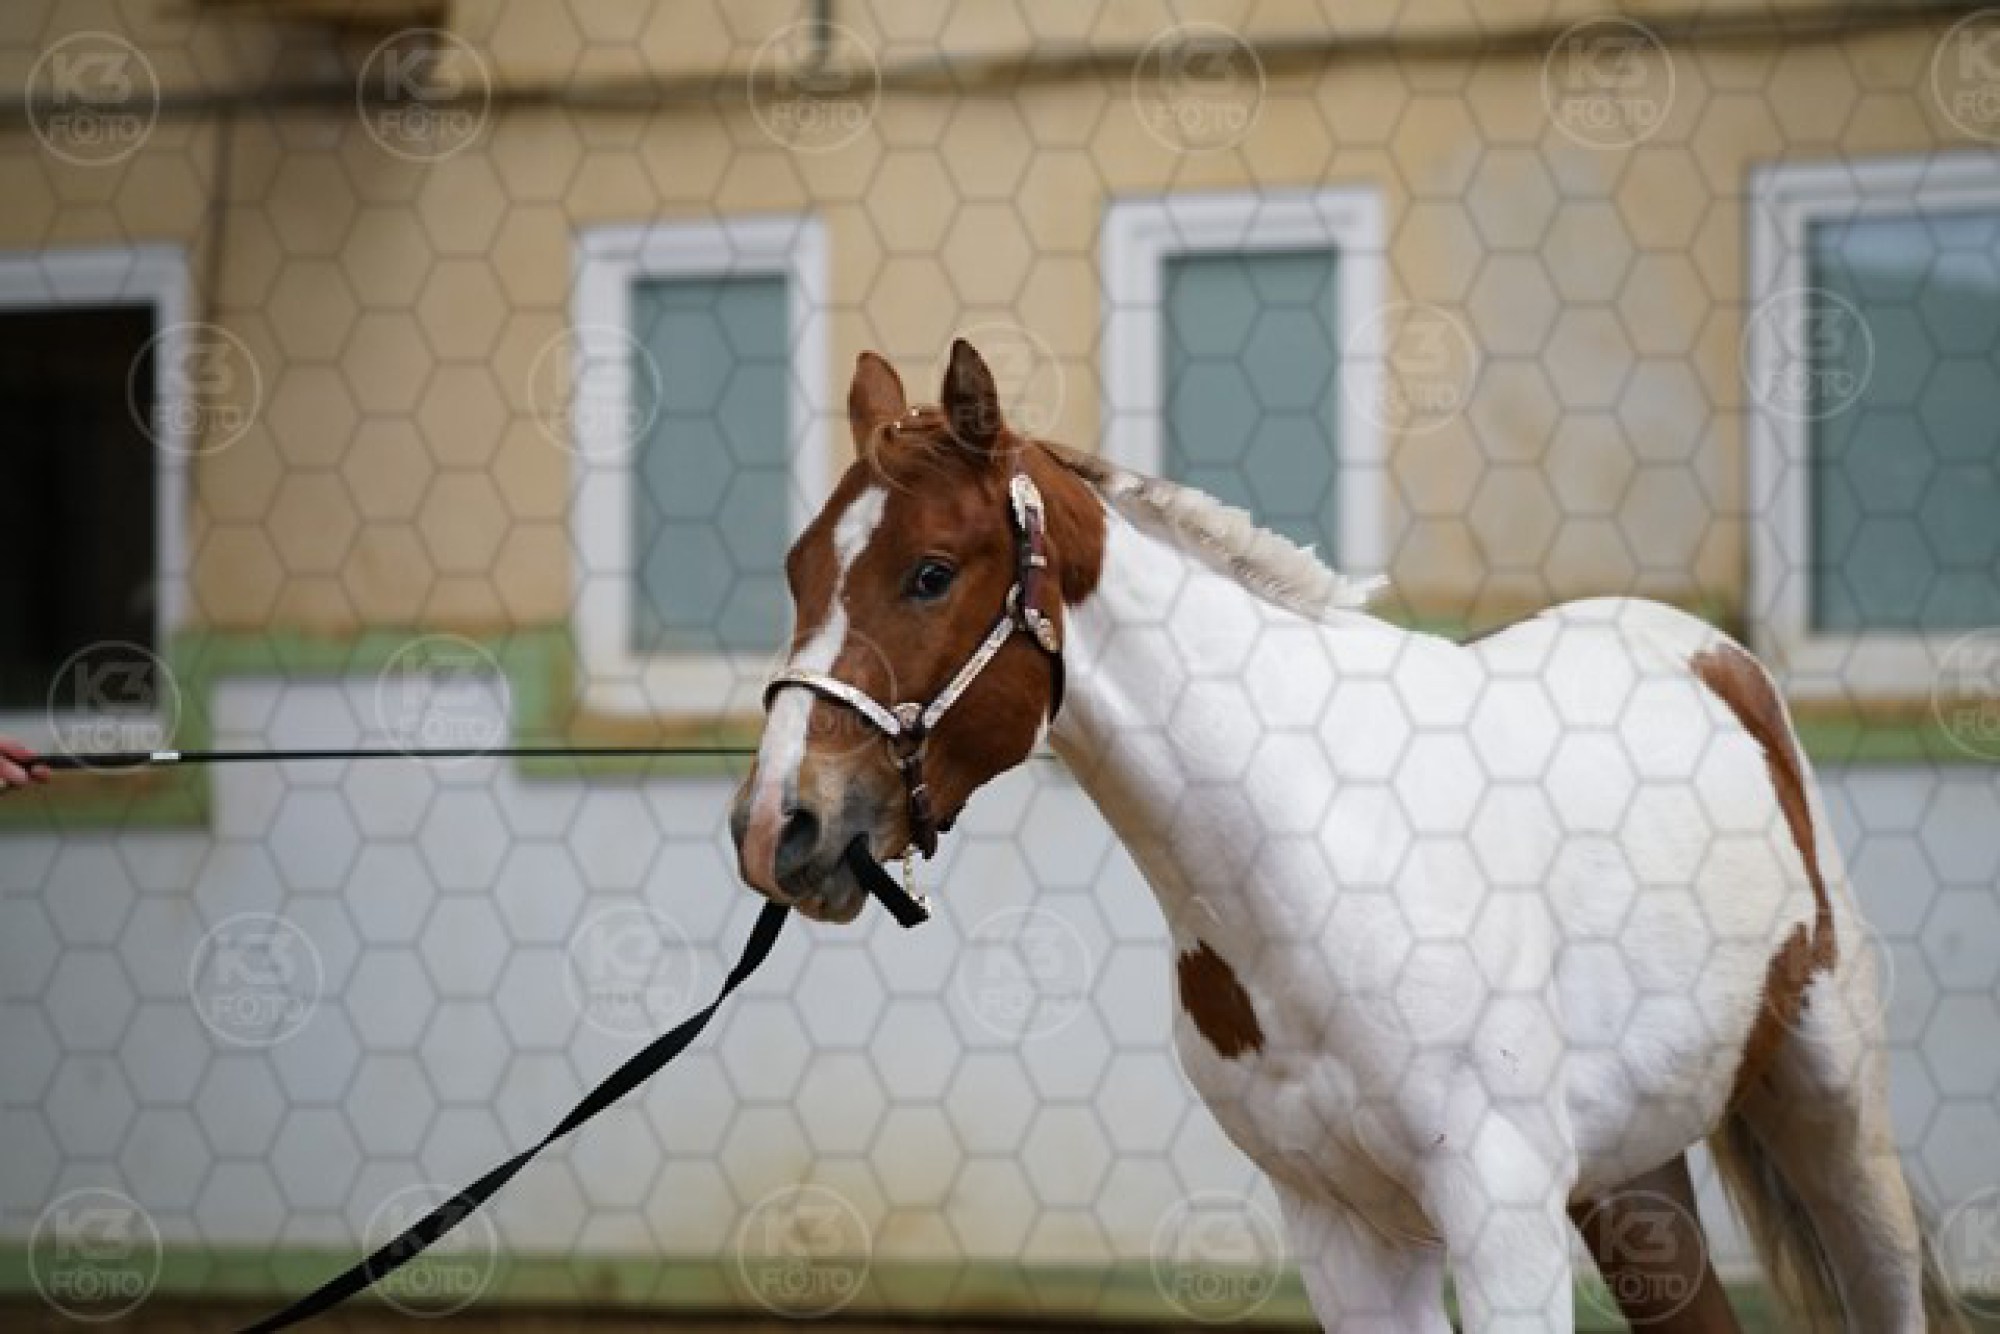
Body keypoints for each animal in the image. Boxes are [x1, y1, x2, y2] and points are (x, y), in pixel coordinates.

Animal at [729, 339, 1962, 1333]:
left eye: (930, 572)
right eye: (796, 569)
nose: (778, 824)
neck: (1320, 847)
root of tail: (1713, 659)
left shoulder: (1501, 1213)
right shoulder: (1343, 1230)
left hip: (1831, 1115)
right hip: (1634, 1172)